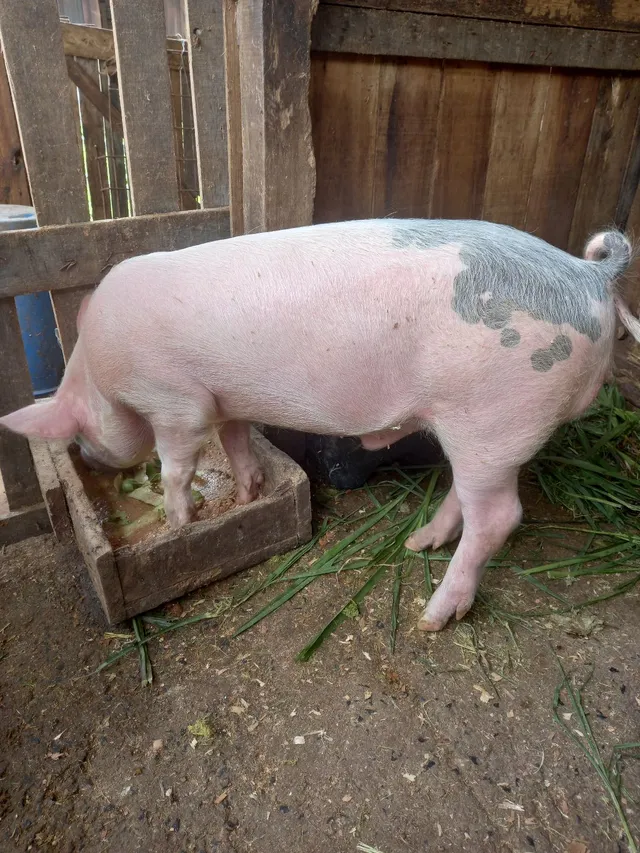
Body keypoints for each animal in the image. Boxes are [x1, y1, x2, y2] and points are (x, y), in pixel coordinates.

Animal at [2, 219, 638, 631]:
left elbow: (178, 464)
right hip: (475, 433)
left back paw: (432, 618)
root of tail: (588, 274)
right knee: (466, 495)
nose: (88, 457)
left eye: (76, 429)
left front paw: (177, 524)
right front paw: (246, 496)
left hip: (492, 418)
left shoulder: (176, 401)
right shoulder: (225, 400)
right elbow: (236, 440)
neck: (99, 371)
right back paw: (418, 543)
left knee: (500, 516)